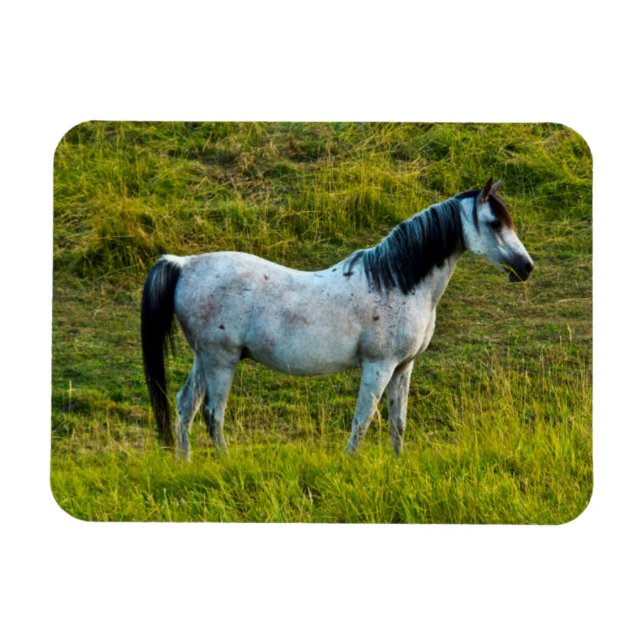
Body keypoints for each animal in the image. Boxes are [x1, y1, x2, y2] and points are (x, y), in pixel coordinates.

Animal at [141, 178, 533, 460]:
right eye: (493, 222)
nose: (526, 267)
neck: (396, 282)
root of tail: (183, 263)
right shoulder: (378, 365)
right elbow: (364, 418)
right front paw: (349, 462)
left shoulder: (403, 366)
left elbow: (398, 421)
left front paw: (398, 464)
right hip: (221, 361)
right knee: (212, 414)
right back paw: (225, 462)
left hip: (204, 358)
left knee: (186, 406)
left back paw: (185, 463)